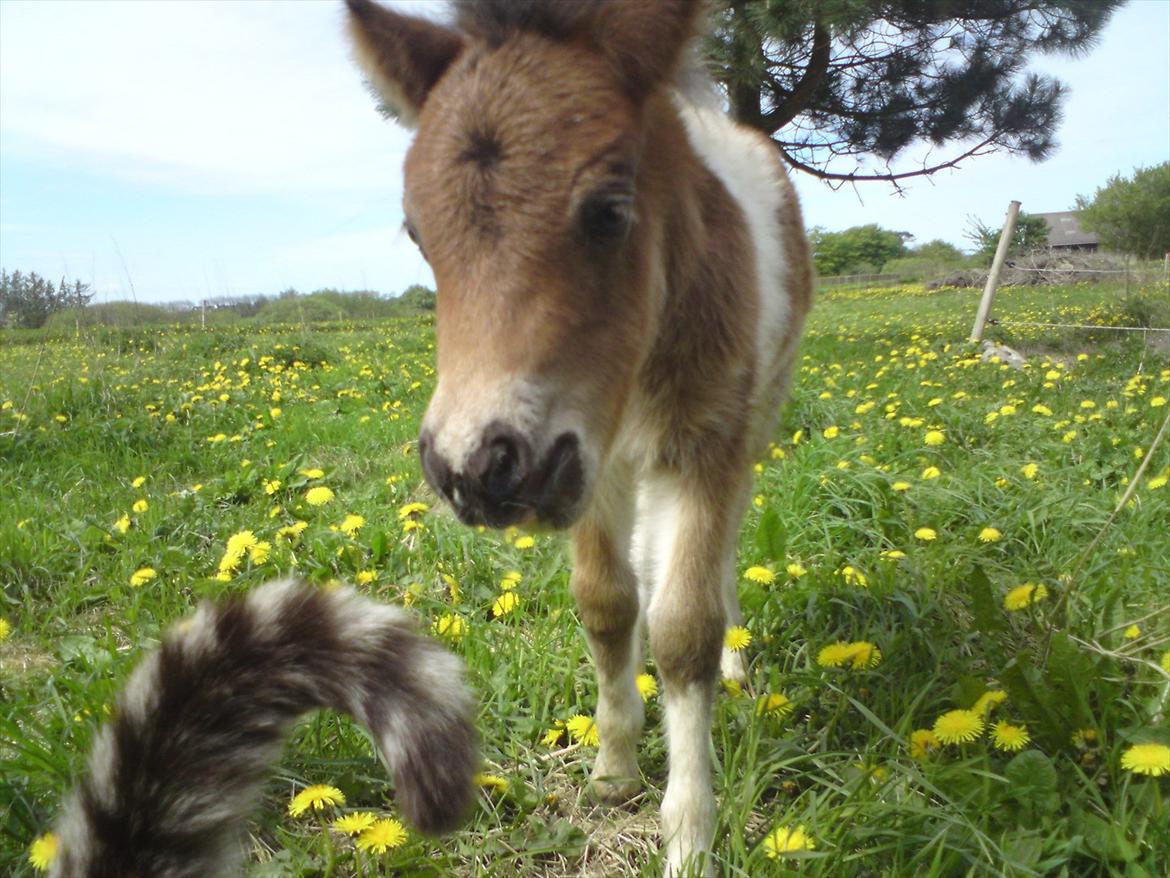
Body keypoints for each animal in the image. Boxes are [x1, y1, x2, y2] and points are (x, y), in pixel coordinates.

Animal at [341, 1, 809, 875]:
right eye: (418, 232)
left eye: (609, 212)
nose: (474, 468)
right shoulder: (588, 458)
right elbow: (606, 603)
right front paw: (615, 769)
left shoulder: (704, 445)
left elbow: (686, 627)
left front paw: (689, 835)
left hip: (752, 425)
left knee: (719, 559)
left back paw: (735, 663)